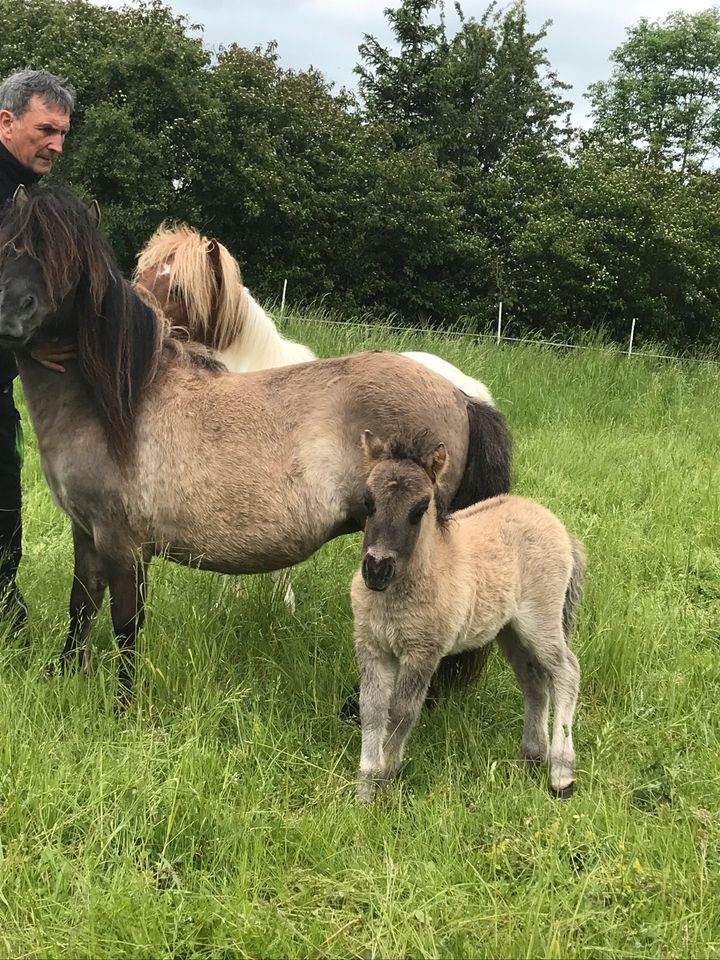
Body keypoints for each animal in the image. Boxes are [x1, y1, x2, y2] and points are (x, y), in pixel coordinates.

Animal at [352, 432, 584, 800]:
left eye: (420, 509)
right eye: (368, 501)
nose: (376, 569)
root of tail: (558, 527)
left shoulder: (423, 652)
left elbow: (402, 712)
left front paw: (388, 778)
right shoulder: (372, 647)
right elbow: (372, 710)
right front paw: (364, 791)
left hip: (541, 621)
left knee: (566, 672)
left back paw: (561, 776)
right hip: (510, 632)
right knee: (534, 683)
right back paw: (532, 759)